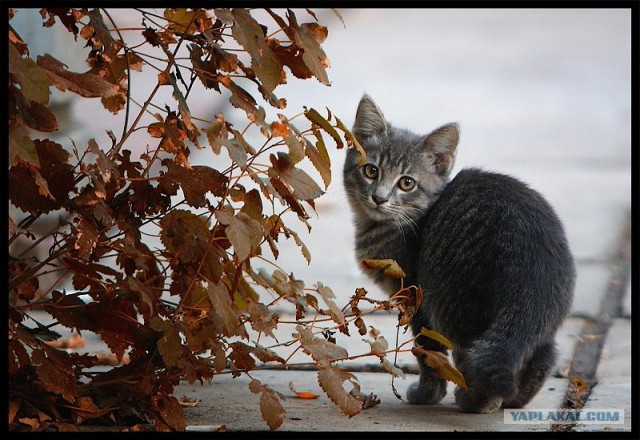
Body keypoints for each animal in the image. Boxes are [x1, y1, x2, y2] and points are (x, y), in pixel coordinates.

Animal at [344, 94, 576, 414]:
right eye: (371, 170)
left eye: (406, 183)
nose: (379, 198)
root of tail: (535, 265)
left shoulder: (417, 299)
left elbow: (428, 352)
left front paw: (427, 395)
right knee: (543, 355)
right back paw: (516, 399)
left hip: (454, 305)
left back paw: (476, 402)